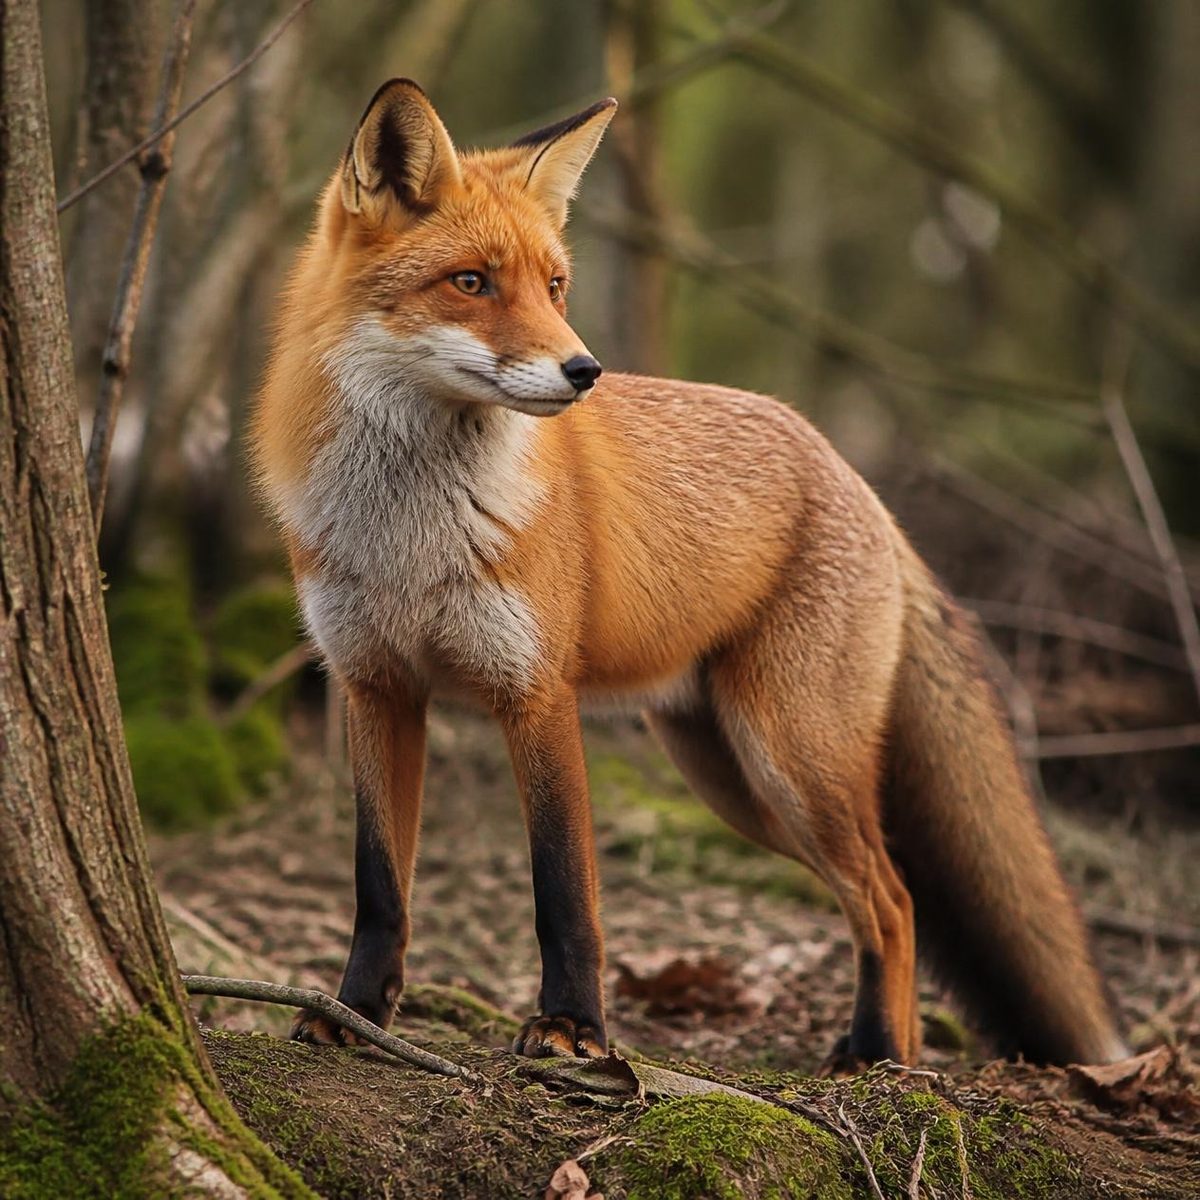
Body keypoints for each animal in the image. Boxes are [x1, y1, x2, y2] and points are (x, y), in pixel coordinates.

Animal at [251, 78, 1128, 1069]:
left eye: (555, 286)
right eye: (471, 282)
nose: (584, 369)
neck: (408, 538)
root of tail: (847, 470)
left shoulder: (537, 694)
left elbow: (564, 891)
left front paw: (574, 1029)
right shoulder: (376, 687)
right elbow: (379, 888)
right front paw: (356, 1012)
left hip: (792, 761)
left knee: (892, 896)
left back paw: (876, 1057)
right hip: (732, 779)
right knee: (887, 895)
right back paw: (892, 1057)